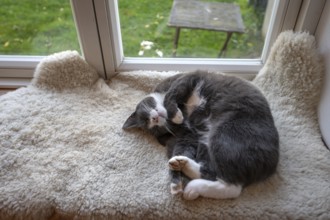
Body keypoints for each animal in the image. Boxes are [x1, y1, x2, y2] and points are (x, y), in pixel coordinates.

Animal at [122, 70, 280, 199]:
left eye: (146, 117)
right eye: (154, 127)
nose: (154, 119)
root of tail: (270, 167)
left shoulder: (186, 78)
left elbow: (171, 94)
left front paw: (176, 115)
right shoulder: (188, 136)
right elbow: (183, 147)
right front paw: (175, 183)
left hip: (223, 135)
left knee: (229, 181)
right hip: (210, 140)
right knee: (226, 182)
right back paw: (184, 171)